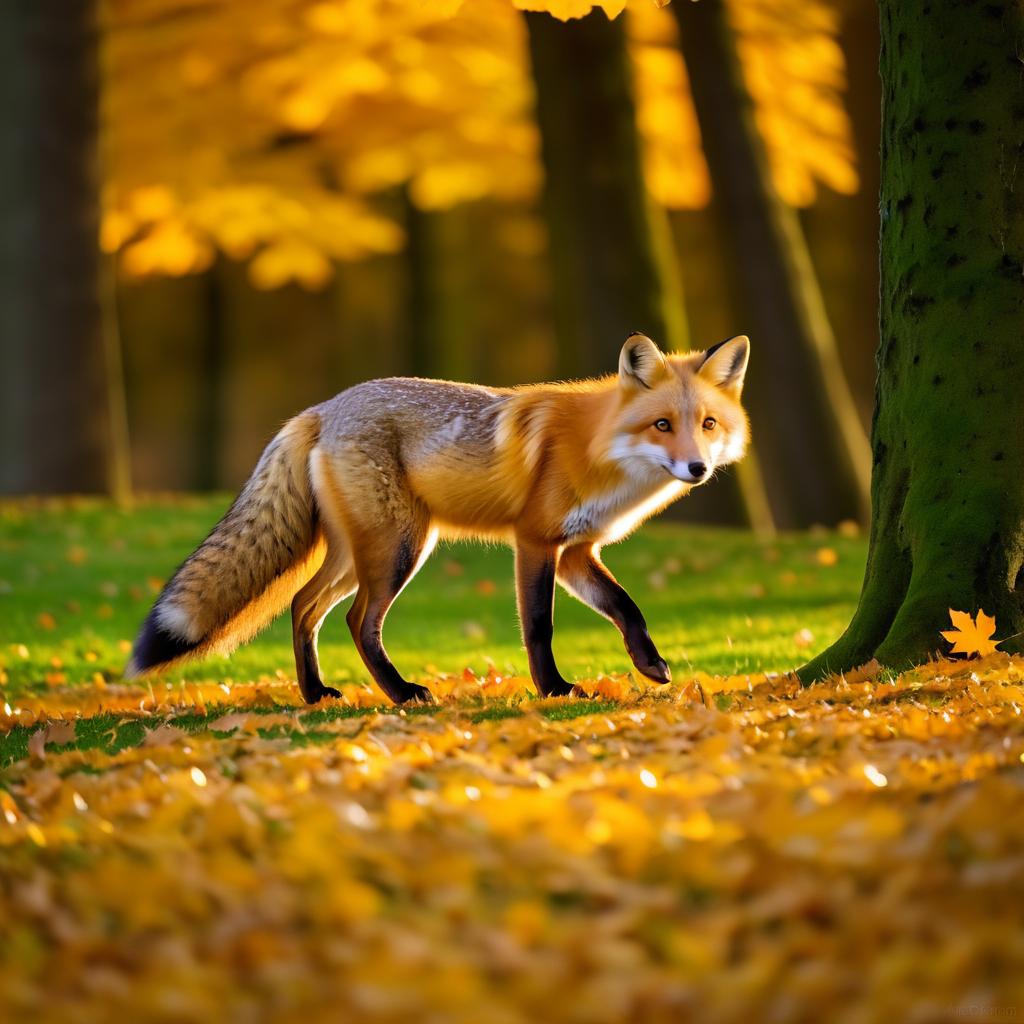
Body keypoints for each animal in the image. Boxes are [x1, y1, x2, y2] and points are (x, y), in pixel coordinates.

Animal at [130, 333, 753, 704]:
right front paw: (553, 689)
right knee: (358, 620)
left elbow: (627, 608)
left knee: (304, 605)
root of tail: (324, 407)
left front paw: (651, 666)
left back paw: (316, 693)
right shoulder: (535, 541)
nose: (697, 468)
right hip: (399, 549)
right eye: (662, 425)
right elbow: (539, 626)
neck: (599, 450)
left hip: (362, 552)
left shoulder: (577, 551)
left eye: (708, 425)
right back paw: (401, 692)